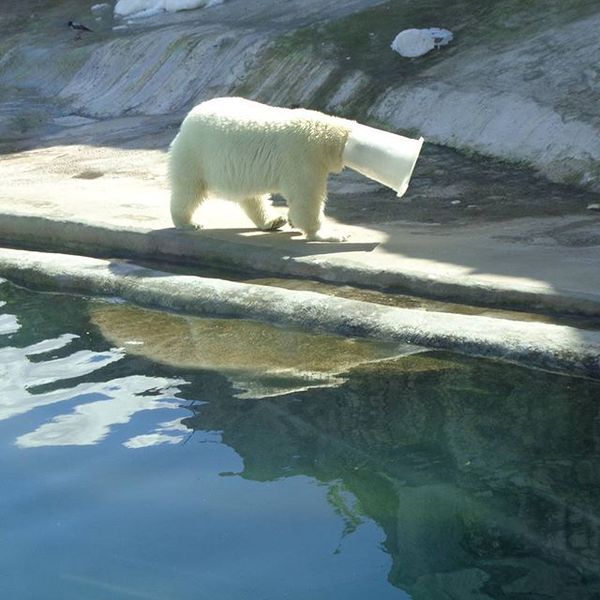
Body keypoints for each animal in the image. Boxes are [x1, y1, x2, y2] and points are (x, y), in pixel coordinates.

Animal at [166, 96, 424, 241]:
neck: (325, 133)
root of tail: (188, 119)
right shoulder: (303, 156)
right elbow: (307, 197)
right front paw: (330, 234)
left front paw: (289, 220)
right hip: (196, 153)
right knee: (189, 190)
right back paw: (189, 222)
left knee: (253, 196)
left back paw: (273, 221)